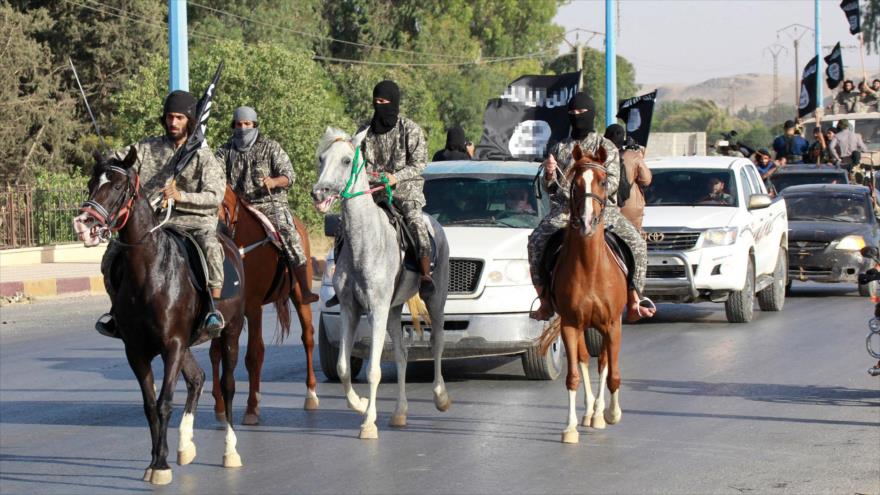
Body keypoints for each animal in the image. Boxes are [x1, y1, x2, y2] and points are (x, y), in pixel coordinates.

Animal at [74, 148, 246, 488]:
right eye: (90, 183)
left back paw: (231, 450)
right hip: (188, 344)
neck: (149, 271)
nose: (84, 223)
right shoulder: (137, 351)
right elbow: (149, 405)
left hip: (230, 332)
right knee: (197, 379)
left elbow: (164, 402)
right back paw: (185, 445)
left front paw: (162, 465)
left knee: (228, 385)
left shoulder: (173, 345)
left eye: (117, 186)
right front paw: (156, 460)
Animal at [215, 184, 318, 424]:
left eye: (222, 206)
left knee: (307, 337)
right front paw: (220, 407)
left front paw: (252, 408)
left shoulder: (253, 308)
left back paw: (311, 394)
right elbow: (215, 354)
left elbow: (254, 355)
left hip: (299, 296)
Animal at [312, 126, 450, 440]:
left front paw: (368, 423)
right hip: (394, 311)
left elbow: (373, 370)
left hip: (435, 300)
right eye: (321, 158)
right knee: (401, 354)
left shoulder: (375, 309)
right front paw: (361, 404)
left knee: (436, 343)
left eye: (346, 160)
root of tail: (435, 225)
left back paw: (440, 397)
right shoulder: (351, 309)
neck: (364, 241)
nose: (318, 192)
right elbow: (342, 367)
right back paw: (399, 412)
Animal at [532, 143, 628, 446]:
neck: (590, 268)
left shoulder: (612, 324)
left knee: (605, 362)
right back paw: (589, 413)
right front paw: (571, 427)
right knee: (586, 360)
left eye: (604, 181)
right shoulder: (570, 324)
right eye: (574, 184)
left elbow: (613, 374)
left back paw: (599, 413)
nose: (587, 222)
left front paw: (612, 413)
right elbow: (573, 375)